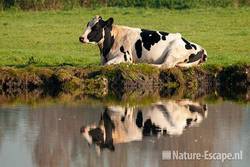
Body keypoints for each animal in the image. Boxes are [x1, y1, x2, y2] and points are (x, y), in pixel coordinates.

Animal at [79, 15, 207, 68]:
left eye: (96, 28)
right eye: (87, 25)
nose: (81, 38)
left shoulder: (126, 57)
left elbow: (107, 64)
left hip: (174, 52)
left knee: (165, 65)